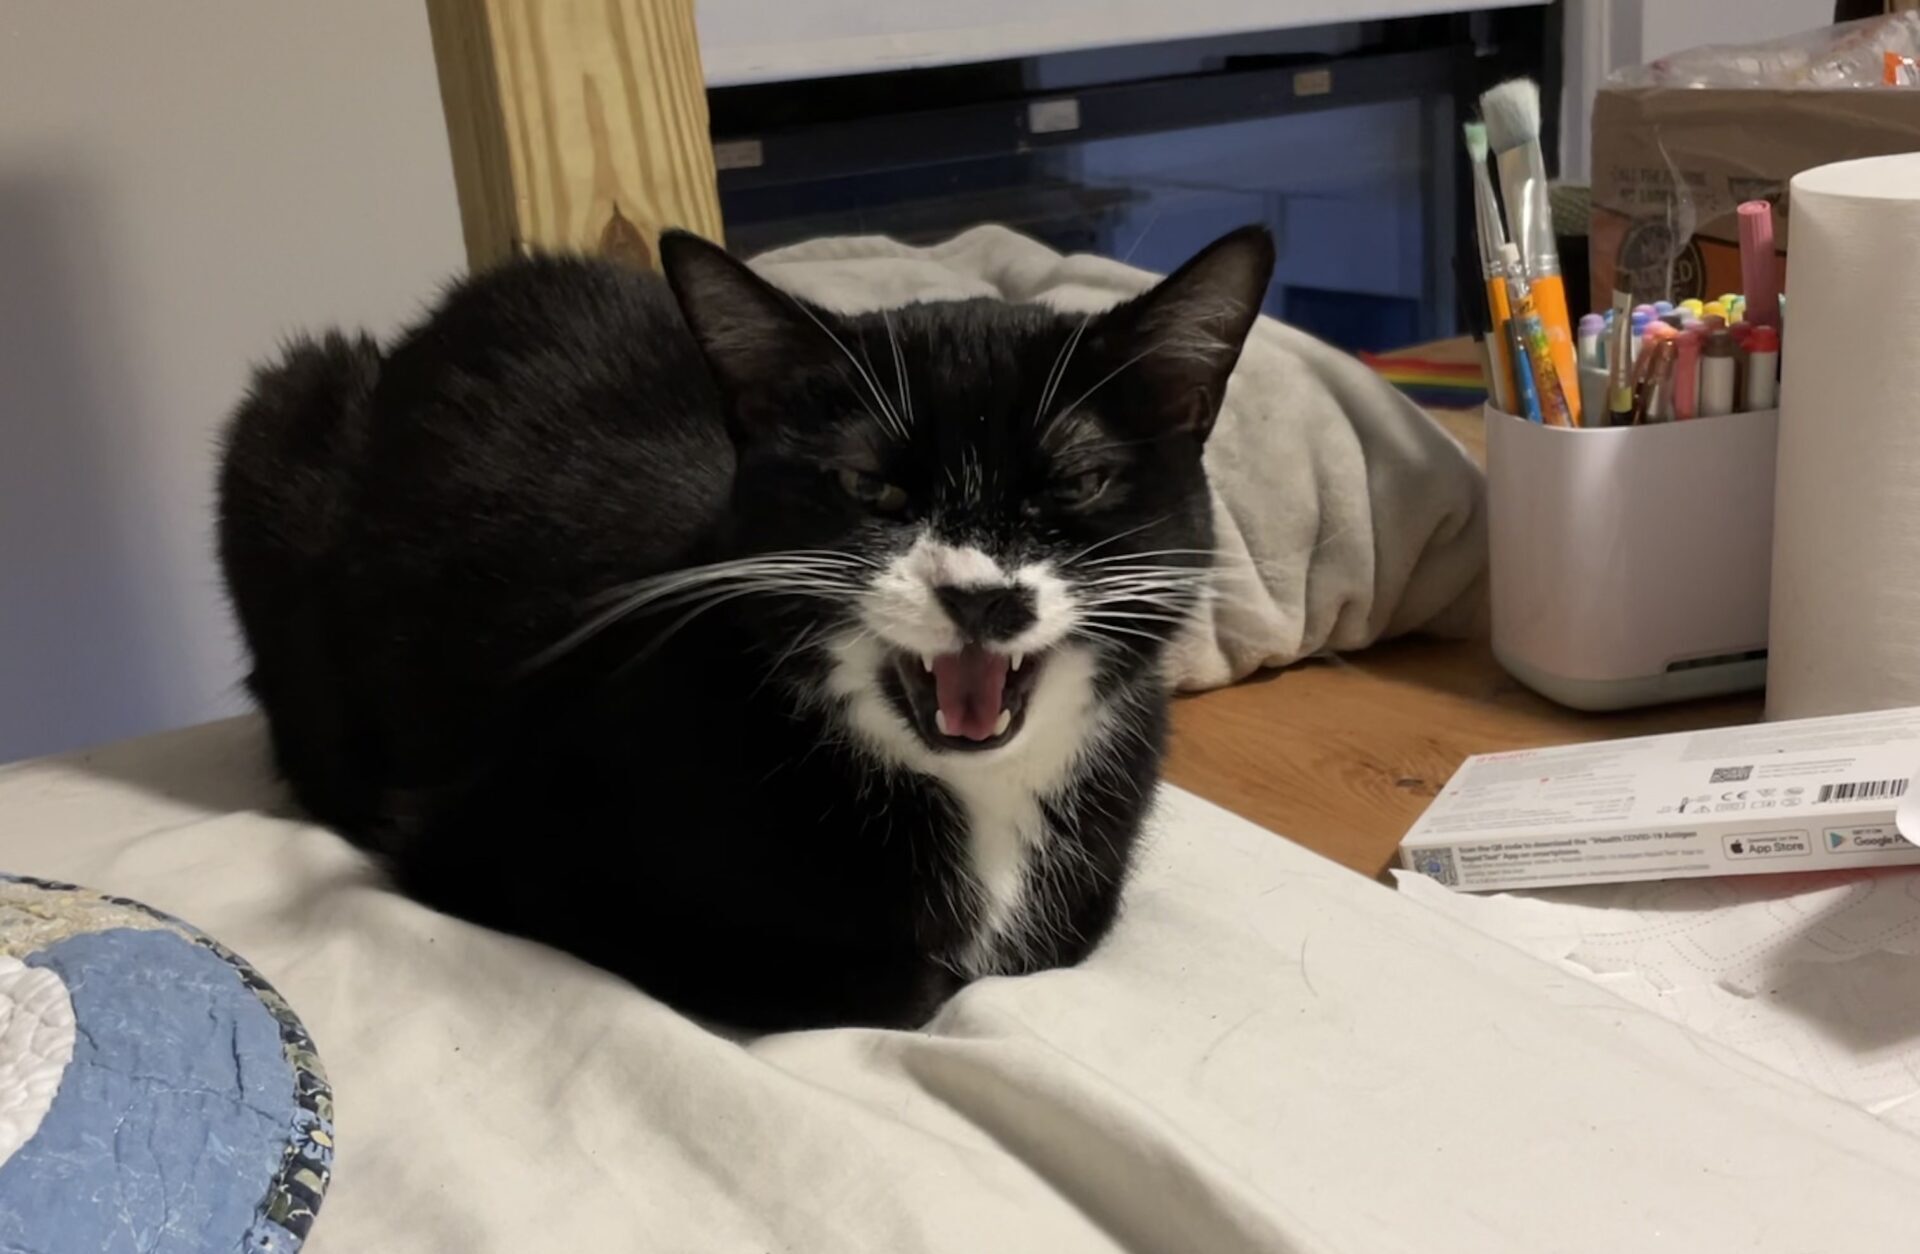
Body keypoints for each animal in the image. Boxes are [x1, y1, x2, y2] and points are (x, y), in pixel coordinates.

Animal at [217, 224, 1274, 1029]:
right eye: (866, 484)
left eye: (1080, 480)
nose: (983, 594)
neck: (975, 798)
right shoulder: (492, 841)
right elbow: (908, 981)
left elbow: (1059, 938)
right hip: (278, 420)